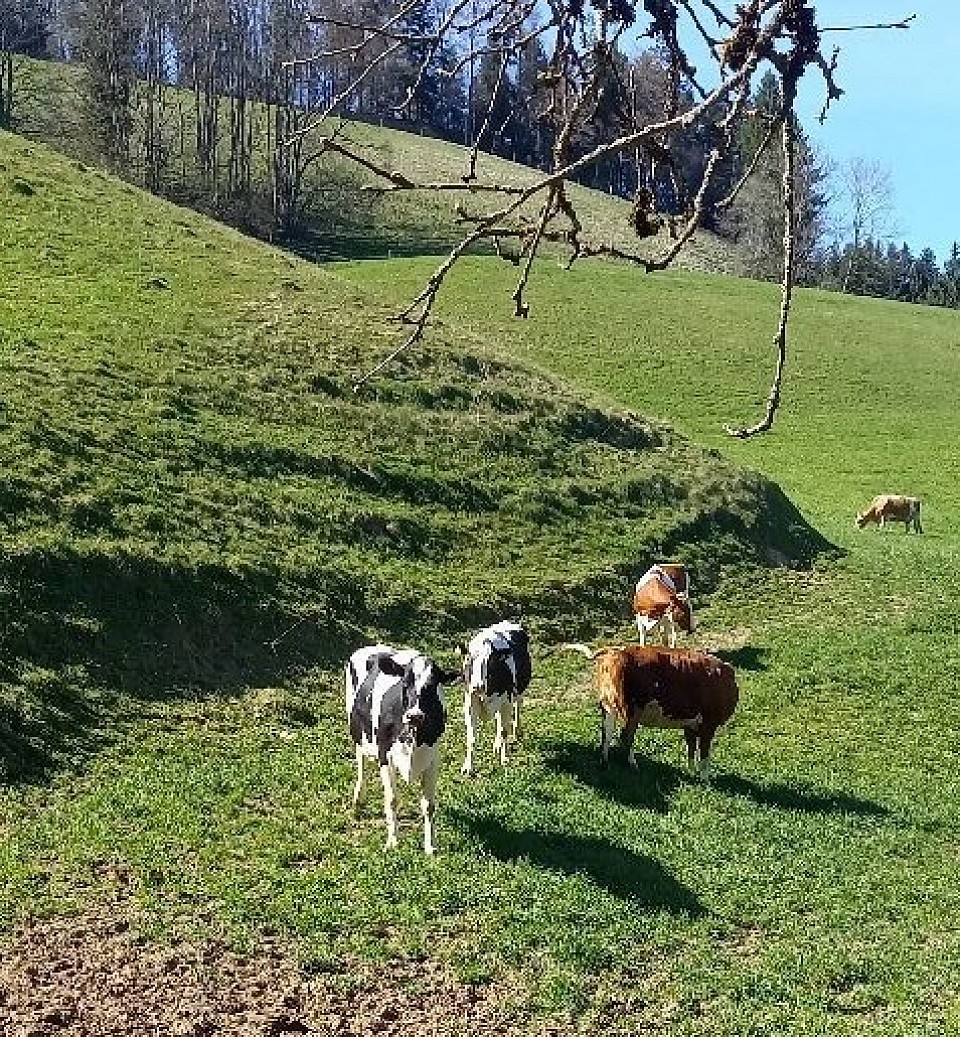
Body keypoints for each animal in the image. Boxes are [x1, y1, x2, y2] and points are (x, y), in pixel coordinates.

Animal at [345, 644, 457, 854]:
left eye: (432, 686)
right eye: (405, 684)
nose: (415, 716)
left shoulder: (433, 759)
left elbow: (429, 804)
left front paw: (430, 846)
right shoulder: (384, 756)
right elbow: (392, 800)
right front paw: (392, 842)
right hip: (357, 730)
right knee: (361, 761)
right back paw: (358, 799)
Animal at [458, 621, 532, 776]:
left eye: (491, 662)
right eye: (470, 660)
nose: (477, 686)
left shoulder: (506, 702)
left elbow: (504, 731)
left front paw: (505, 759)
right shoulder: (470, 703)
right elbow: (471, 737)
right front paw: (468, 766)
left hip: (518, 692)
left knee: (517, 709)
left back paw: (515, 734)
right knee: (499, 720)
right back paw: (497, 744)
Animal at [564, 642, 738, 781]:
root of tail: (617, 651)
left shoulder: (690, 723)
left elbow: (691, 748)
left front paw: (690, 772)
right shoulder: (708, 724)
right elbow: (704, 753)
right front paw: (704, 779)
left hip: (609, 706)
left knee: (607, 734)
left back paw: (604, 763)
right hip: (630, 710)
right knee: (625, 737)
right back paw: (633, 766)